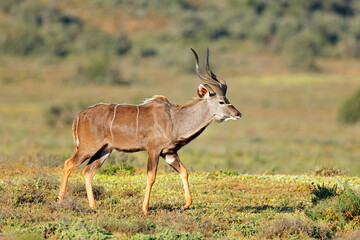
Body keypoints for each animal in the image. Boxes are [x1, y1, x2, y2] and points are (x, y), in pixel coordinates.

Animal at [57, 47, 242, 215]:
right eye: (221, 102)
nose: (238, 114)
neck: (175, 119)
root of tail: (79, 116)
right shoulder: (153, 150)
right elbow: (151, 176)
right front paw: (145, 210)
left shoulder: (169, 153)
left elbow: (184, 172)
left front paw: (184, 206)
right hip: (87, 149)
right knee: (68, 164)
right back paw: (60, 201)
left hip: (103, 151)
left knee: (87, 172)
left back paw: (93, 207)